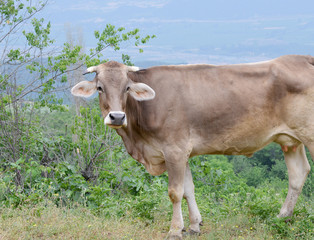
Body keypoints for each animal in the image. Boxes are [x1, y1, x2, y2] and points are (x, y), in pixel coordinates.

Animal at [70, 55, 312, 239]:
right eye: (99, 87)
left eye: (127, 87)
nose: (117, 116)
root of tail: (300, 58)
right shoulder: (182, 152)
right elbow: (189, 189)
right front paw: (194, 225)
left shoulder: (174, 149)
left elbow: (175, 192)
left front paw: (175, 230)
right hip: (291, 141)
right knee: (298, 174)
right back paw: (282, 217)